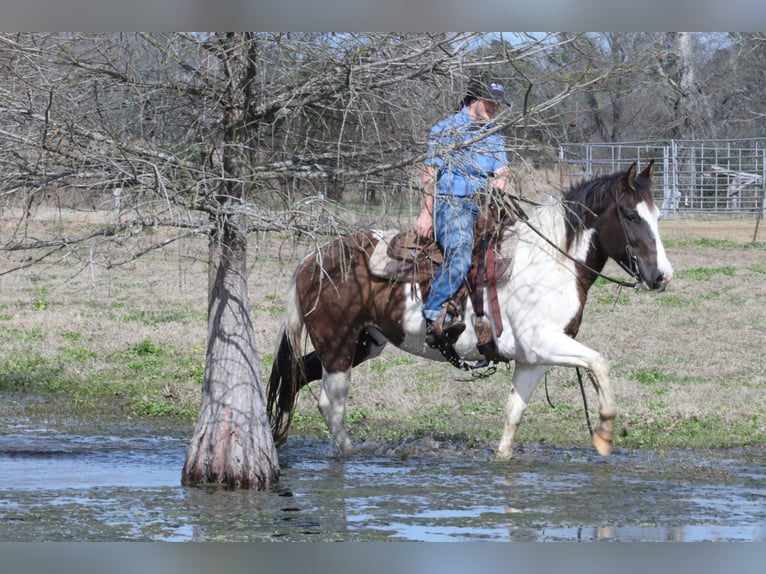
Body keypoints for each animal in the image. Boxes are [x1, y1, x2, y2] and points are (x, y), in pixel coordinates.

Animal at [268, 161, 676, 460]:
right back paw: (351, 454)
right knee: (330, 404)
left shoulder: (532, 359)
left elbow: (513, 415)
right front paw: (604, 433)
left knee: (295, 375)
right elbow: (598, 362)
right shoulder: (543, 342)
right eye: (630, 215)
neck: (553, 263)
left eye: (657, 215)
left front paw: (502, 459)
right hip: (338, 345)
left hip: (363, 343)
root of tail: (312, 259)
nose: (661, 276)